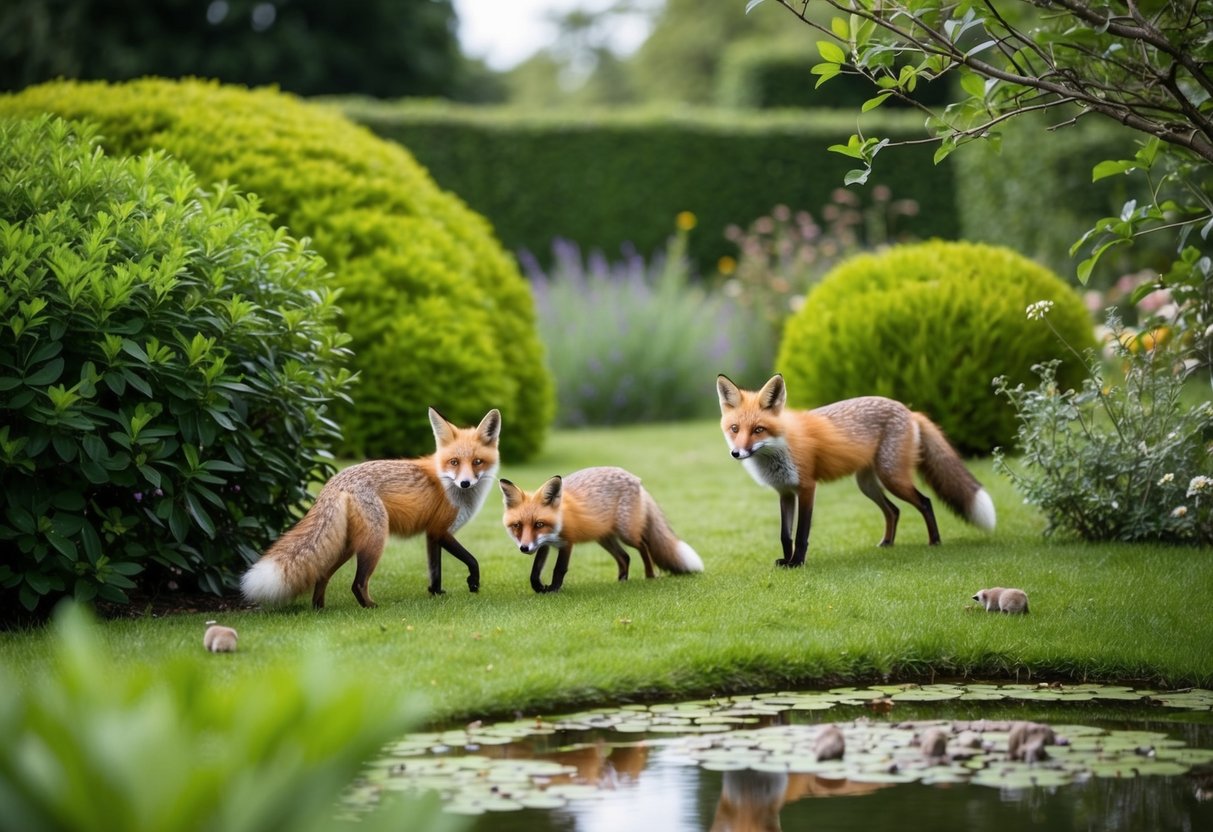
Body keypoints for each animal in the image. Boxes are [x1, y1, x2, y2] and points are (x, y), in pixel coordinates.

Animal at [240, 407, 501, 609]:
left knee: (322, 574)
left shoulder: (432, 534)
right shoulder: (440, 530)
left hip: (347, 544)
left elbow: (435, 570)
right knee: (357, 583)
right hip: (375, 540)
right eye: (454, 462)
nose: (465, 482)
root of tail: (336, 480)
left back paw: (319, 608)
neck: (449, 483)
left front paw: (436, 593)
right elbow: (471, 559)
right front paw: (473, 583)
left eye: (477, 462)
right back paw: (370, 607)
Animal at [498, 466, 704, 593]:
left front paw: (554, 590)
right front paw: (539, 588)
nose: (524, 548)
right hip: (604, 538)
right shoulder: (544, 544)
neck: (561, 516)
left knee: (644, 546)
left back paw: (650, 576)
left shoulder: (567, 543)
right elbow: (534, 572)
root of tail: (635, 478)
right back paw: (622, 581)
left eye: (539, 524)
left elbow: (559, 569)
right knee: (625, 557)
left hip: (627, 534)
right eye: (517, 526)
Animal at [716, 373, 995, 567]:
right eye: (735, 429)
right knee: (893, 510)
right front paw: (787, 561)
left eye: (758, 430)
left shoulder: (806, 487)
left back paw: (934, 541)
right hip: (867, 484)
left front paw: (798, 563)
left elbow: (802, 532)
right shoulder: (784, 492)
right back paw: (887, 543)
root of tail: (909, 410)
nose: (736, 453)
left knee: (925, 502)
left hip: (892, 477)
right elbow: (786, 535)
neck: (779, 448)